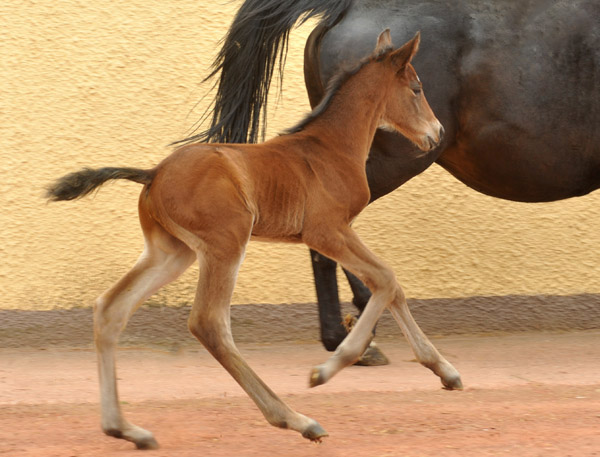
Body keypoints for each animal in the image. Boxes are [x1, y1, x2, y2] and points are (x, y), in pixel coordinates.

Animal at [48, 32, 460, 448]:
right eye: (417, 88)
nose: (437, 133)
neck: (330, 147)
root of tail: (153, 174)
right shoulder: (326, 230)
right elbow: (385, 278)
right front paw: (329, 368)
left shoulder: (333, 232)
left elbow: (391, 285)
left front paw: (445, 370)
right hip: (226, 243)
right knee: (209, 323)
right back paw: (296, 419)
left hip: (171, 252)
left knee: (111, 309)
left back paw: (126, 429)